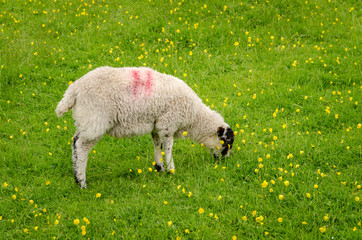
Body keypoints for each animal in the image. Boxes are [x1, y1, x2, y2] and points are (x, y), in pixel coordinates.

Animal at [54, 66, 233, 188]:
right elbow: (168, 148)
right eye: (226, 143)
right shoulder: (168, 123)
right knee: (81, 147)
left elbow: (157, 145)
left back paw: (77, 178)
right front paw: (171, 170)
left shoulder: (156, 124)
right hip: (95, 120)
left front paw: (159, 167)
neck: (194, 116)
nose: (225, 161)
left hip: (86, 120)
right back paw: (81, 182)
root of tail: (73, 90)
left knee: (75, 142)